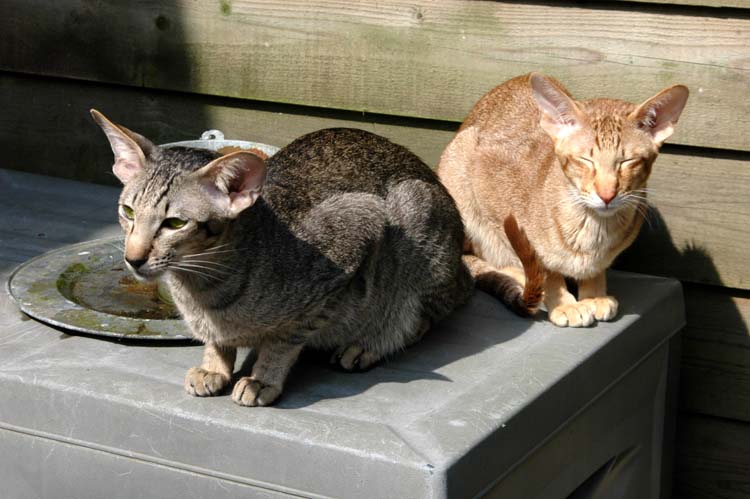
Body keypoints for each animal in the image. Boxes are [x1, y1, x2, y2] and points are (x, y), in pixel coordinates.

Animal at [91, 110, 473, 406]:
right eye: (128, 211)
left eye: (174, 223)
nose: (133, 258)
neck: (204, 291)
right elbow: (217, 341)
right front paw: (215, 365)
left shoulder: (357, 230)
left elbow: (285, 338)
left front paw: (263, 378)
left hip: (417, 217)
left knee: (423, 315)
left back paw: (368, 344)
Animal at [437, 73, 688, 327]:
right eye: (585, 160)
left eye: (627, 161)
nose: (607, 195)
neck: (593, 226)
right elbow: (541, 268)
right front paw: (564, 303)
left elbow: (596, 267)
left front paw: (593, 294)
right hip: (458, 165)